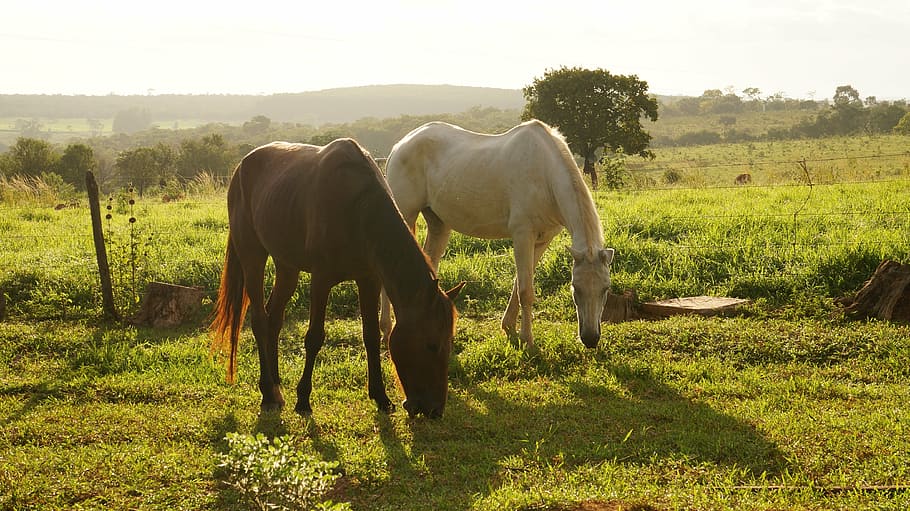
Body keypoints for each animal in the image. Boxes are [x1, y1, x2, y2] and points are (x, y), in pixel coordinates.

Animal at [211, 139, 464, 418]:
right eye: (431, 345)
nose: (435, 409)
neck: (358, 210)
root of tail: (242, 166)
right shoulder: (321, 280)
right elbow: (314, 337)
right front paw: (303, 399)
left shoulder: (369, 280)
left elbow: (371, 335)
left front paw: (380, 396)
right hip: (252, 255)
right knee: (259, 320)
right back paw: (268, 393)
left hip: (287, 265)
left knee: (274, 319)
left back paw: (277, 386)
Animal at [379, 120, 613, 349]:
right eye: (575, 288)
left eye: (605, 289)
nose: (590, 339)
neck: (545, 175)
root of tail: (399, 146)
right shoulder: (522, 236)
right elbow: (525, 291)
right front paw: (527, 340)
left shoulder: (542, 241)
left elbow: (519, 283)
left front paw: (508, 326)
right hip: (405, 214)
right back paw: (387, 330)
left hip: (439, 225)